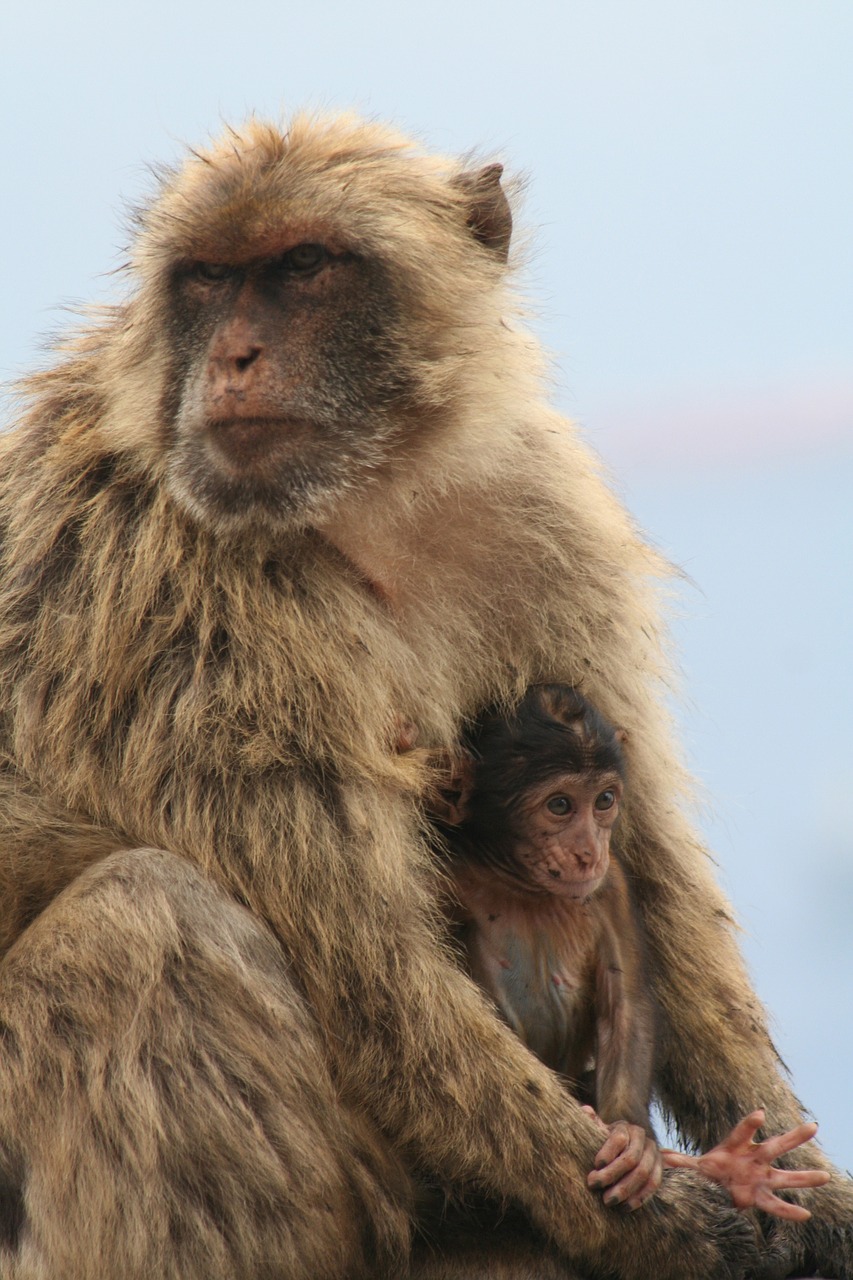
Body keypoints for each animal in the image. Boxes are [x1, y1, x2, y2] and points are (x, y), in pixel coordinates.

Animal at [432, 686, 824, 1213]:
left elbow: (627, 1000)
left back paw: (733, 1170)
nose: (589, 850)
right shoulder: (445, 875)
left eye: (603, 801)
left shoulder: (611, 883)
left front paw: (633, 1139)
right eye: (560, 805)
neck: (518, 883)